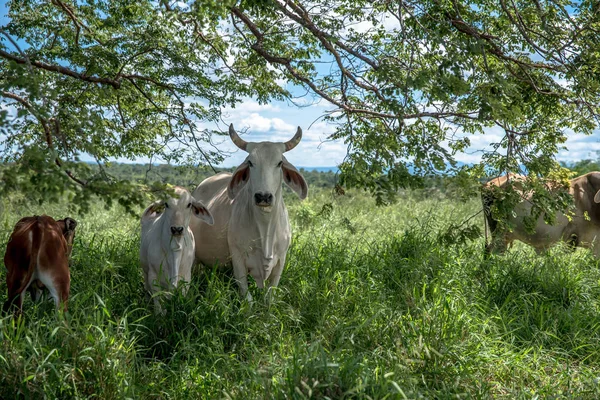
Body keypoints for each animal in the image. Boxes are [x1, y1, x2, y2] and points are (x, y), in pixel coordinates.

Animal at [139, 186, 214, 314]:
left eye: (189, 204)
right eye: (166, 204)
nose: (177, 229)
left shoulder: (186, 278)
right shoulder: (153, 275)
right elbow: (157, 299)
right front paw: (159, 313)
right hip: (145, 269)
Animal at [190, 124, 308, 300]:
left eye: (279, 163)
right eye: (251, 163)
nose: (263, 196)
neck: (265, 228)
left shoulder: (281, 261)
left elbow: (269, 297)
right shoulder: (238, 259)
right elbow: (247, 298)